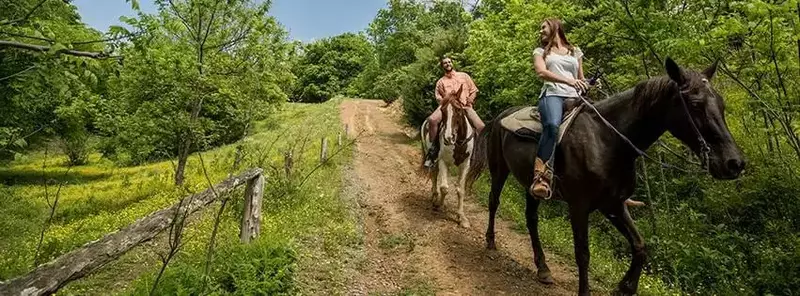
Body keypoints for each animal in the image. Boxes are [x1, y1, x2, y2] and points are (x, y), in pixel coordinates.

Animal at [418, 86, 476, 228]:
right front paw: (439, 204)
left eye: (459, 109)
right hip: (432, 158)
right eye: (443, 111)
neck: (459, 142)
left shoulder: (465, 165)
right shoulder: (443, 161)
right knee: (434, 175)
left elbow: (460, 190)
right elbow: (444, 188)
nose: (448, 138)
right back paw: (434, 196)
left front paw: (462, 218)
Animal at [466, 56, 748, 294]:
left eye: (721, 103)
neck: (609, 141)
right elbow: (583, 253)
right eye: (696, 104)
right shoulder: (579, 206)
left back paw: (543, 268)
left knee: (531, 219)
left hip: (531, 185)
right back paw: (491, 242)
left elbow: (640, 246)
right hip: (499, 170)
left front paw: (626, 287)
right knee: (494, 202)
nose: (734, 163)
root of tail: (502, 115)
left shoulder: (613, 204)